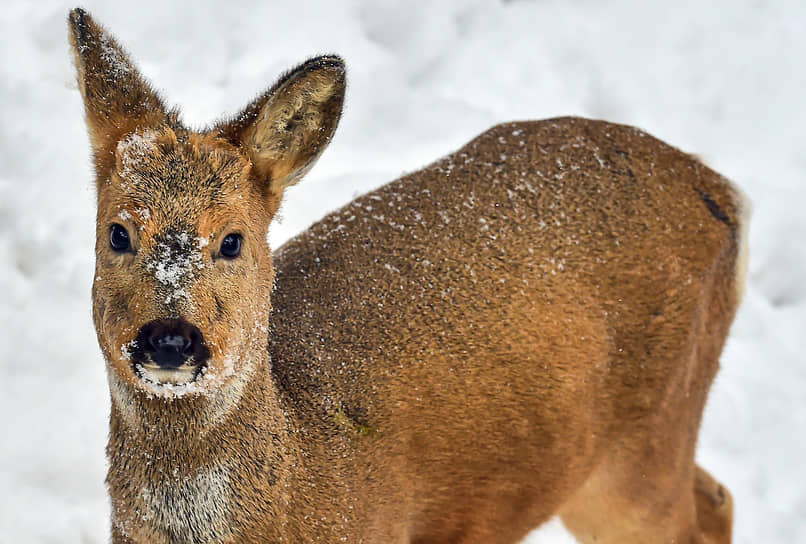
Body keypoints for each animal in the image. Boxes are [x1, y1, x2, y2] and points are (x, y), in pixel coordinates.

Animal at [69, 8, 752, 544]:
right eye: (118, 233)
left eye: (232, 241)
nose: (169, 338)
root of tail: (723, 192)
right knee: (717, 495)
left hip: (641, 446)